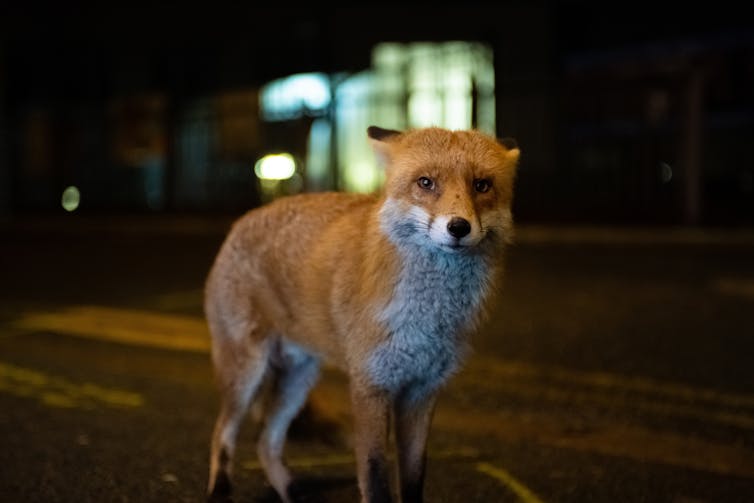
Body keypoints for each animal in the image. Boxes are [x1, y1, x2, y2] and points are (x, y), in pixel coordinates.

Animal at [205, 125, 520, 502]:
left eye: (482, 185)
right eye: (425, 182)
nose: (458, 227)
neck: (427, 320)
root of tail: (242, 220)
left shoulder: (423, 388)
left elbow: (414, 476)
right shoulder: (371, 384)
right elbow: (375, 477)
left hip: (299, 378)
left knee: (267, 441)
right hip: (247, 372)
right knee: (223, 432)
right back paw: (220, 490)